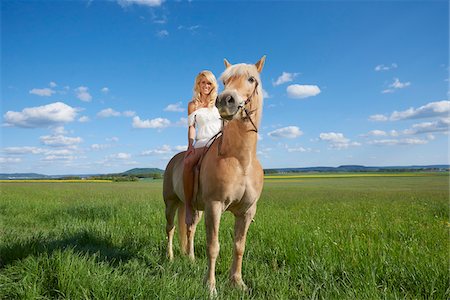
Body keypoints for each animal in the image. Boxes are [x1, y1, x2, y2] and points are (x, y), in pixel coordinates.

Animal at [163, 56, 266, 296]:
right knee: (171, 230)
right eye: (225, 80)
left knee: (190, 229)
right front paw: (210, 287)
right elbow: (213, 246)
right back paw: (170, 257)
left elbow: (239, 246)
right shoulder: (215, 206)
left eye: (251, 79)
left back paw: (190, 258)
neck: (240, 160)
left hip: (194, 208)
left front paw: (237, 282)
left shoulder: (247, 212)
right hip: (171, 203)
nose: (225, 100)